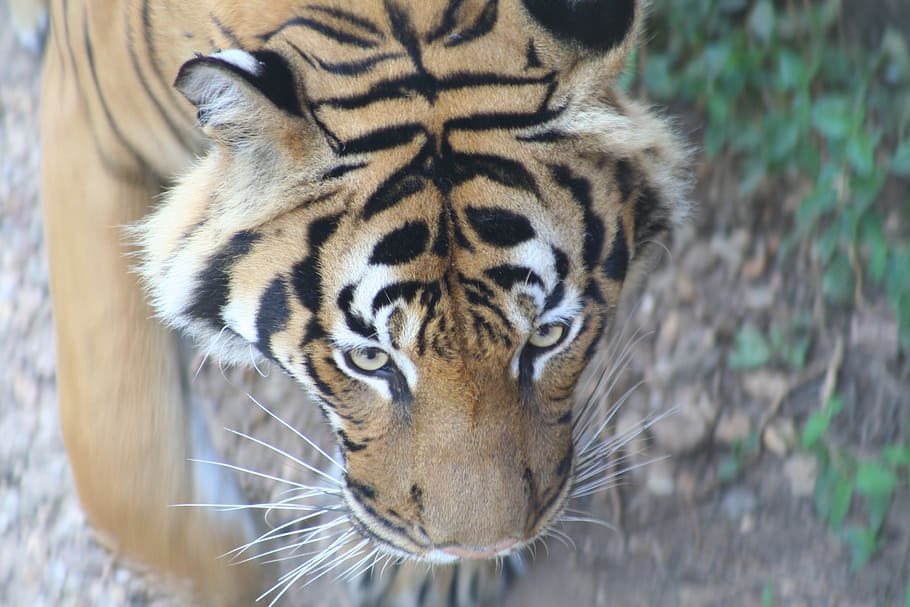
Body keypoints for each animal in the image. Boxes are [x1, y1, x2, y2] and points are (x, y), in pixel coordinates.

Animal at [22, 0, 690, 604]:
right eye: (370, 360)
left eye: (548, 336)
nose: (485, 547)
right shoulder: (86, 128)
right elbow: (126, 474)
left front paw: (433, 577)